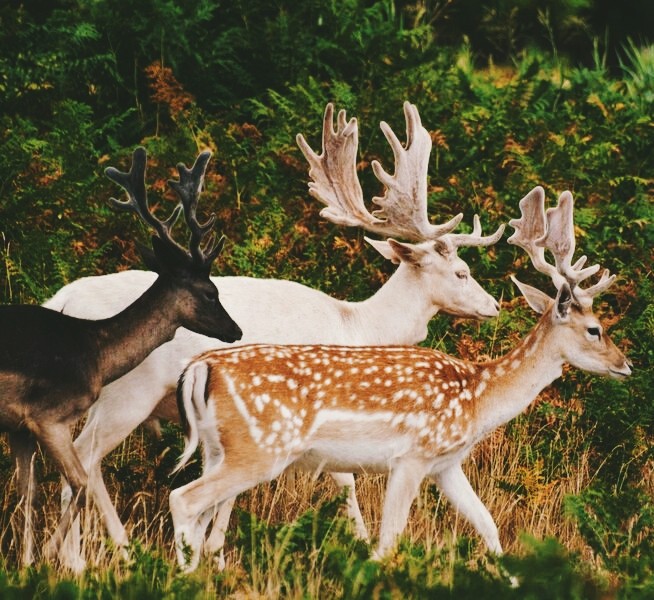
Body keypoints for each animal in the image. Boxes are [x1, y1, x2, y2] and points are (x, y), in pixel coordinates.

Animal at [0, 147, 242, 569]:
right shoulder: (47, 417)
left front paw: (27, 564)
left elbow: (25, 494)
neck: (97, 353)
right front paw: (52, 556)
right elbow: (79, 483)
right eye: (211, 291)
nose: (236, 330)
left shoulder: (19, 428)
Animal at [44, 102, 504, 569]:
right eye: (462, 272)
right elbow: (344, 478)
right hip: (126, 395)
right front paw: (358, 542)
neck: (359, 325)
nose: (494, 305)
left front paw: (212, 550)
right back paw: (87, 556)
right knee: (83, 461)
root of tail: (62, 299)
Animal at [167, 185, 631, 573]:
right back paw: (182, 577)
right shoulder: (412, 455)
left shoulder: (447, 465)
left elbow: (489, 526)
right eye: (595, 329)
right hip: (260, 448)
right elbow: (388, 540)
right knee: (184, 499)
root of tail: (201, 368)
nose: (626, 364)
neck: (477, 398)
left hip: (217, 448)